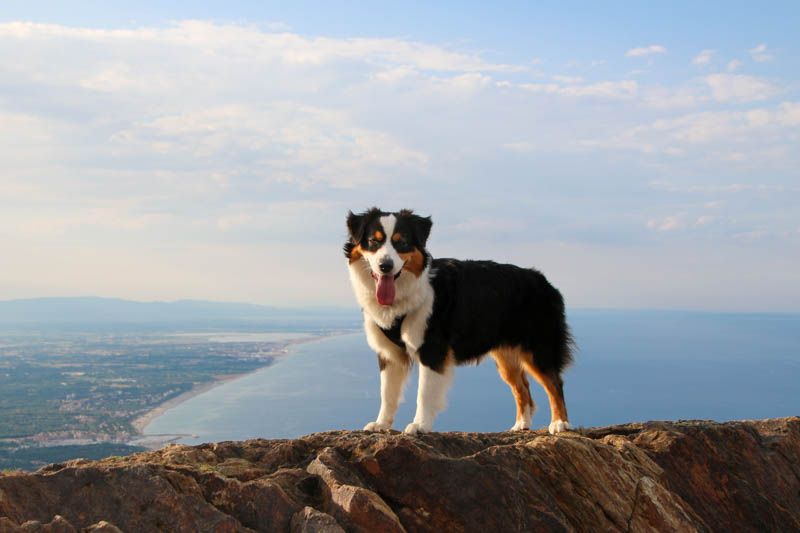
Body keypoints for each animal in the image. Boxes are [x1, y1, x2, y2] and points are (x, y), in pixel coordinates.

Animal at [346, 207, 576, 432]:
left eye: (401, 242)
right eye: (373, 241)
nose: (385, 265)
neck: (408, 291)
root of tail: (543, 280)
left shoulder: (432, 349)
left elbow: (424, 393)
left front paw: (420, 425)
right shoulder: (389, 353)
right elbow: (387, 393)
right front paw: (381, 424)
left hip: (539, 348)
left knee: (555, 383)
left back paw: (560, 423)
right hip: (506, 355)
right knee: (522, 387)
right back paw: (522, 424)